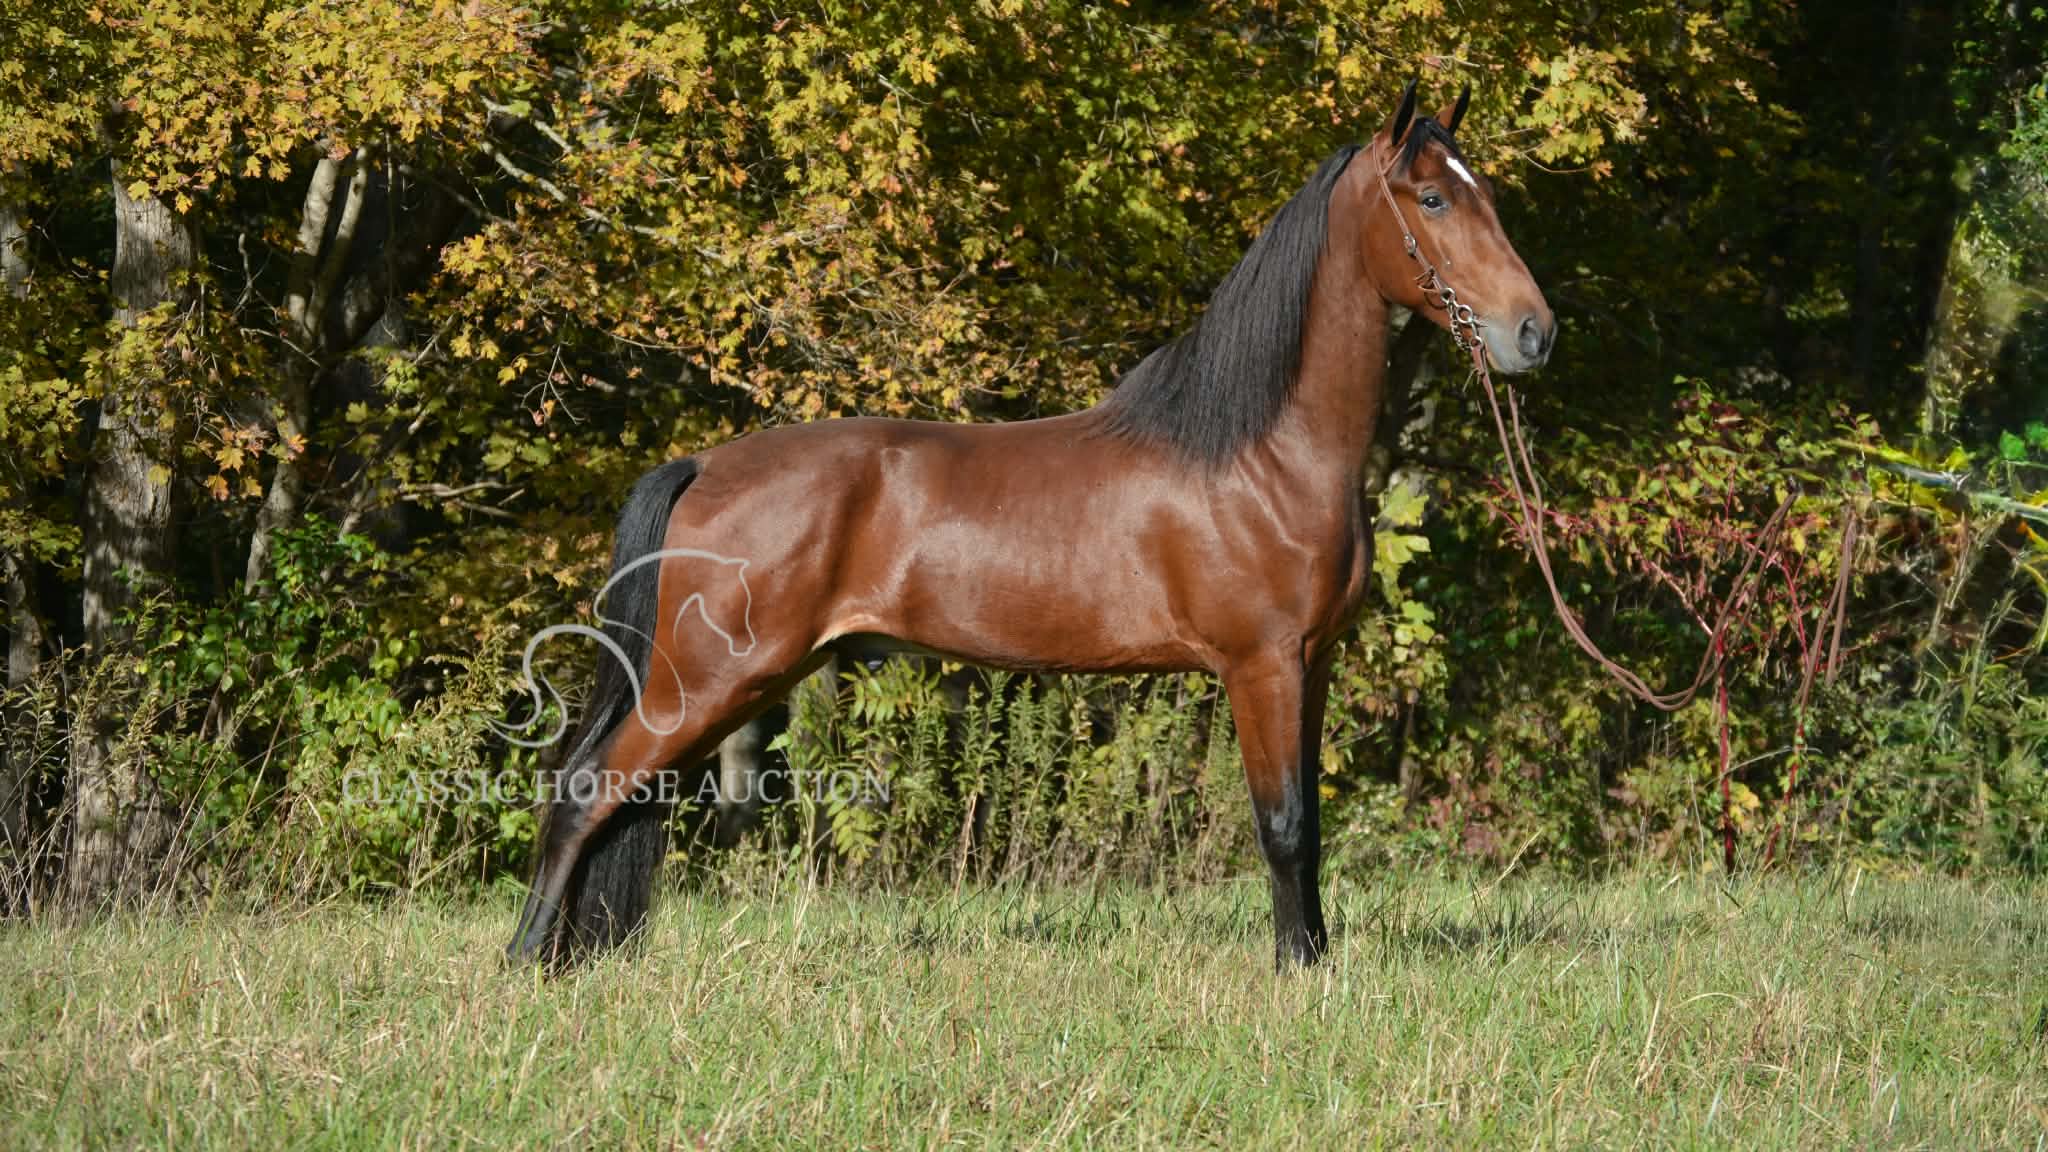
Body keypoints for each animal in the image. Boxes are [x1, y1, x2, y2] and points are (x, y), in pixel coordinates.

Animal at [509, 80, 1554, 969]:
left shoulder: (1313, 664)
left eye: (1486, 195)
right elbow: (1285, 826)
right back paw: (524, 962)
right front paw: (1298, 972)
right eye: (1431, 200)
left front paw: (1320, 963)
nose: (1533, 333)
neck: (1261, 452)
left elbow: (1312, 827)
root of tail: (702, 466)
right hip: (708, 683)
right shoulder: (1261, 665)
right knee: (587, 788)